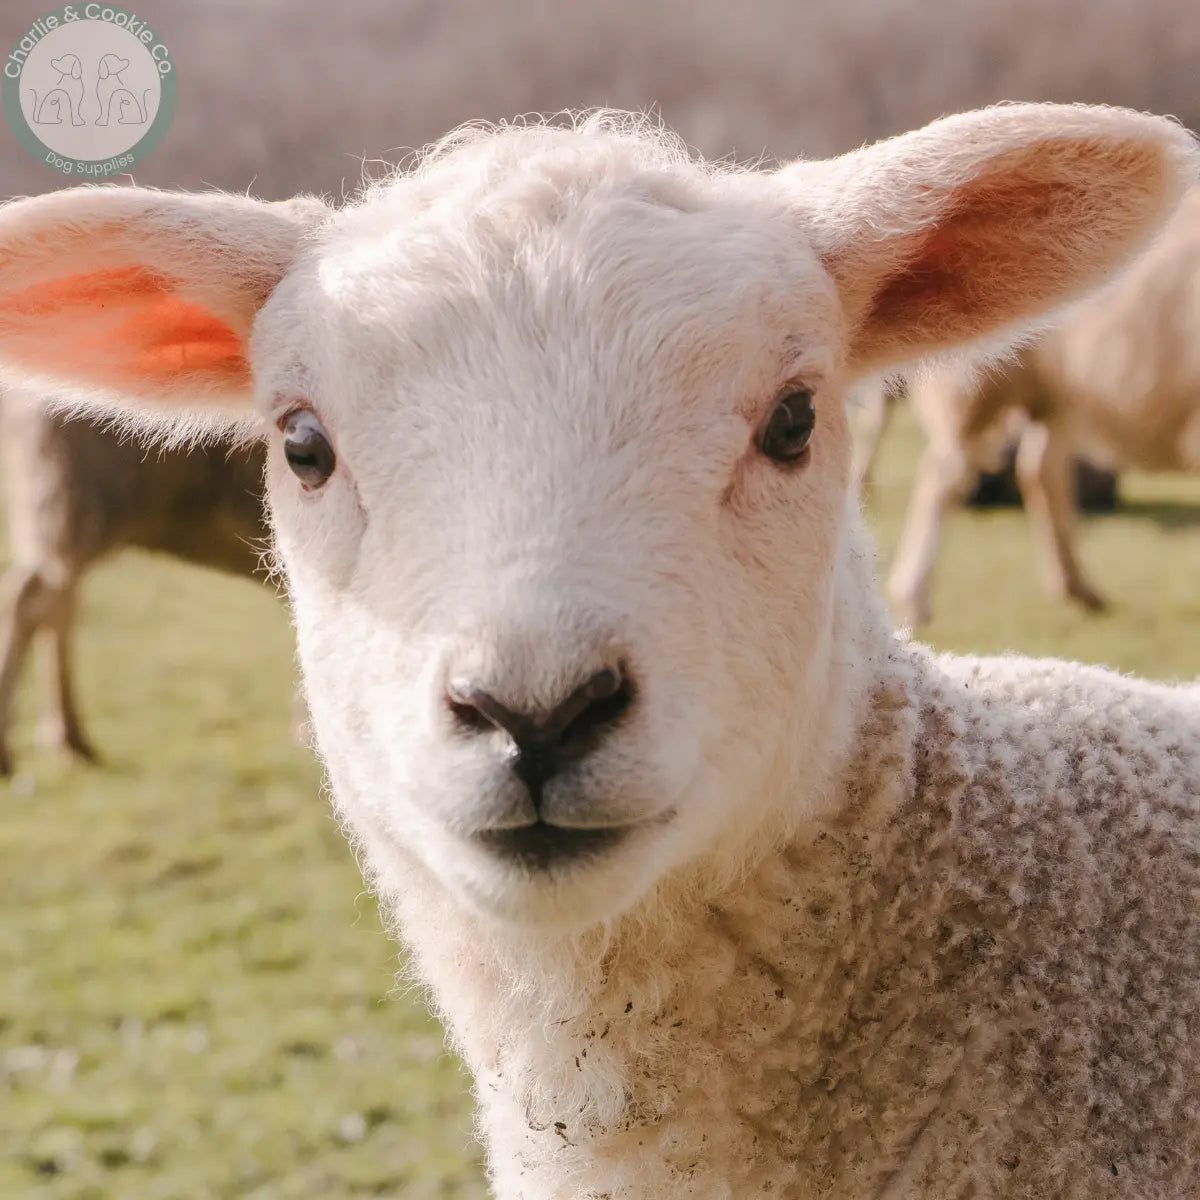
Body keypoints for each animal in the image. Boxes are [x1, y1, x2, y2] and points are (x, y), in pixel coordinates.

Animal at [880, 183, 1200, 625]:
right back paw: (913, 597)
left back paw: (1077, 588)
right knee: (944, 476)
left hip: (1059, 392)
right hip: (976, 384)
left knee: (1039, 469)